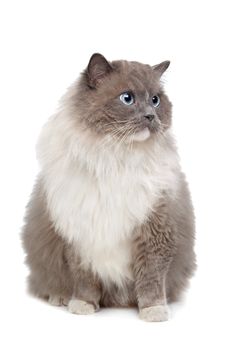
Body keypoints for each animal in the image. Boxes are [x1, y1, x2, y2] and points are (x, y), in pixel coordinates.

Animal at [22, 53, 197, 322]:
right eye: (127, 98)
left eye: (155, 100)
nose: (151, 116)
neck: (116, 155)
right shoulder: (80, 235)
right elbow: (85, 280)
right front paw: (83, 305)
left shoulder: (155, 228)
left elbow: (151, 279)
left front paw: (154, 311)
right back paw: (61, 298)